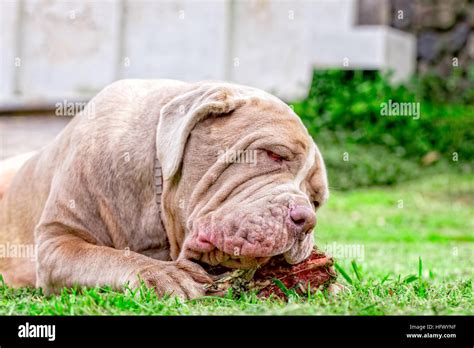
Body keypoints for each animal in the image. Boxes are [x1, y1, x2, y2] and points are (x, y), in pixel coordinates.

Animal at [0, 79, 328, 300]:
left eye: (316, 200)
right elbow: (106, 256)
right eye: (274, 154)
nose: (305, 220)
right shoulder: (57, 240)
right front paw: (163, 274)